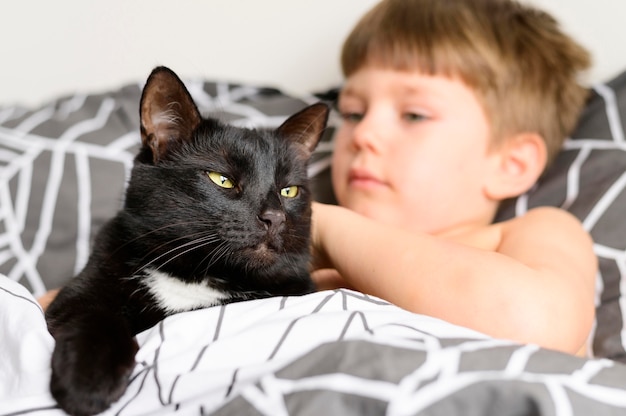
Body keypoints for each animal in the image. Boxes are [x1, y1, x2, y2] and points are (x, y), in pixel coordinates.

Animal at [44, 66, 330, 414]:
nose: (275, 217)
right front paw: (87, 382)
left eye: (289, 190)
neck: (198, 276)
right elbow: (95, 318)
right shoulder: (82, 289)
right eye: (222, 179)